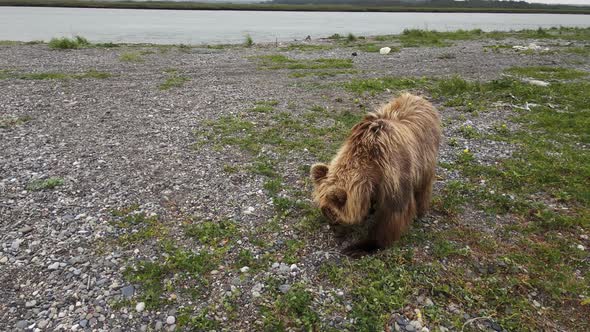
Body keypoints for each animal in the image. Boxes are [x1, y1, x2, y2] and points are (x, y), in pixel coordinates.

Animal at [312, 93, 442, 256]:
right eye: (325, 211)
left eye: (332, 213)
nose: (335, 231)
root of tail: (420, 98)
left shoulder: (394, 175)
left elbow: (392, 215)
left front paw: (361, 246)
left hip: (425, 153)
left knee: (424, 184)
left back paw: (420, 209)